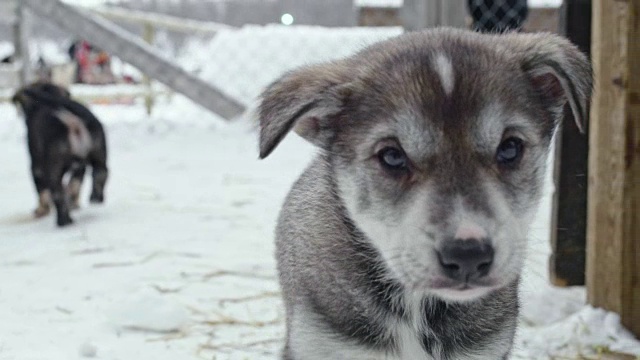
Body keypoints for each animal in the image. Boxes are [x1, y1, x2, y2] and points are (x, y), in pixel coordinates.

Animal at [12, 83, 109, 226]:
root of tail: (71, 119)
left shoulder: (36, 166)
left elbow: (42, 191)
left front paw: (41, 211)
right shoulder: (80, 168)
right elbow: (73, 186)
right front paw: (74, 204)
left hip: (53, 167)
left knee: (57, 192)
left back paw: (63, 221)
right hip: (98, 152)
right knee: (99, 174)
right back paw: (95, 198)